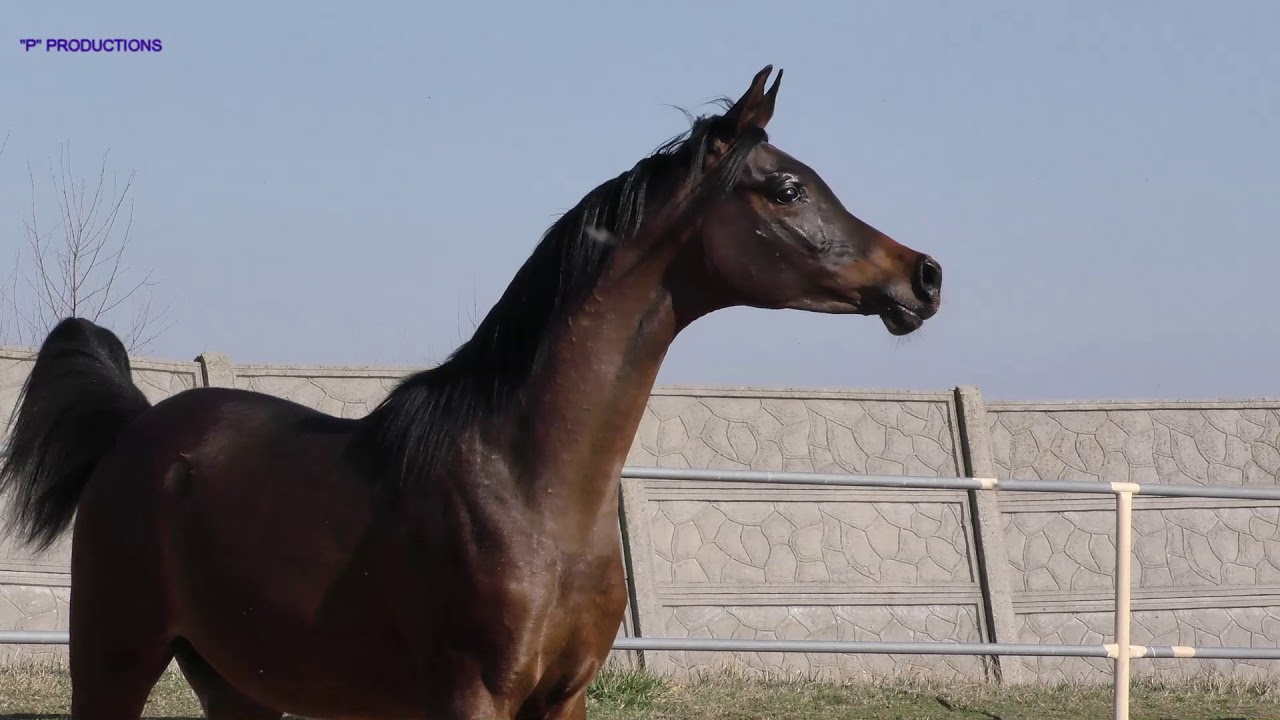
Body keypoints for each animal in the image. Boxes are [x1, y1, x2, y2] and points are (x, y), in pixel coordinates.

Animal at [0, 65, 942, 720]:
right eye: (787, 187)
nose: (923, 277)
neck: (529, 484)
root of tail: (136, 427)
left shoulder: (564, 698)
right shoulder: (472, 696)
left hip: (239, 682)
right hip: (115, 658)